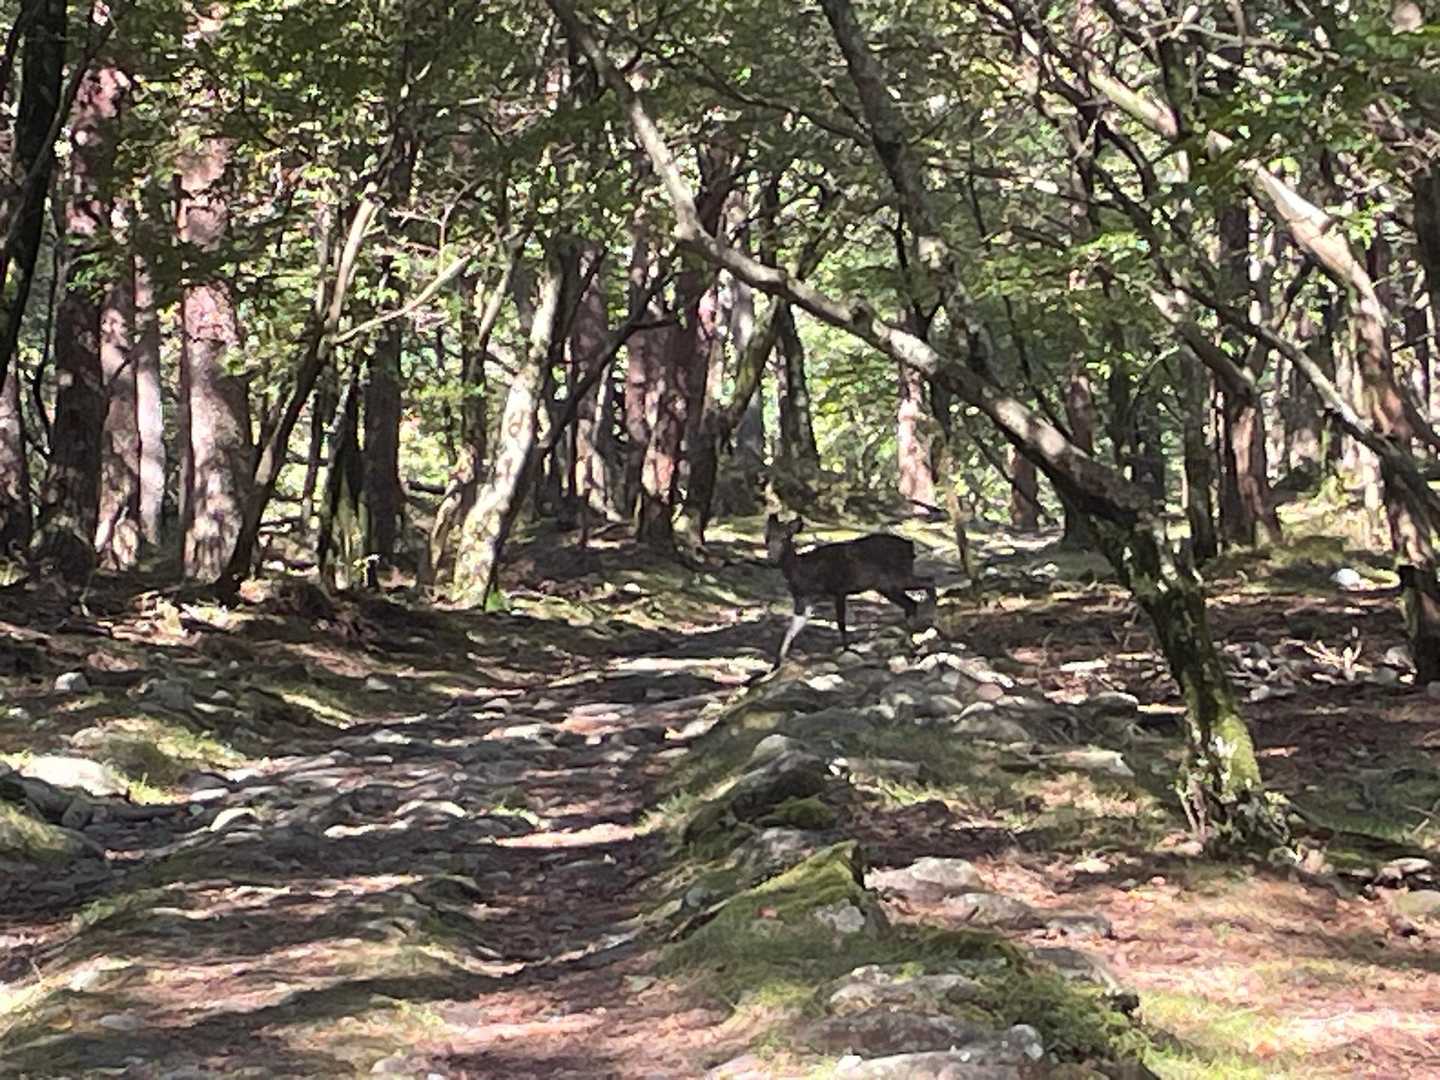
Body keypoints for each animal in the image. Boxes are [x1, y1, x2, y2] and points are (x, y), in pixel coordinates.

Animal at [764, 513, 936, 666]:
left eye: (784, 538)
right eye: (767, 537)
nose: (772, 559)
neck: (805, 572)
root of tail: (910, 547)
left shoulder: (839, 589)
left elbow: (841, 623)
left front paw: (847, 650)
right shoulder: (804, 602)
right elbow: (790, 632)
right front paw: (776, 665)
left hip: (897, 577)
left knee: (927, 583)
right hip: (886, 586)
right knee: (913, 601)